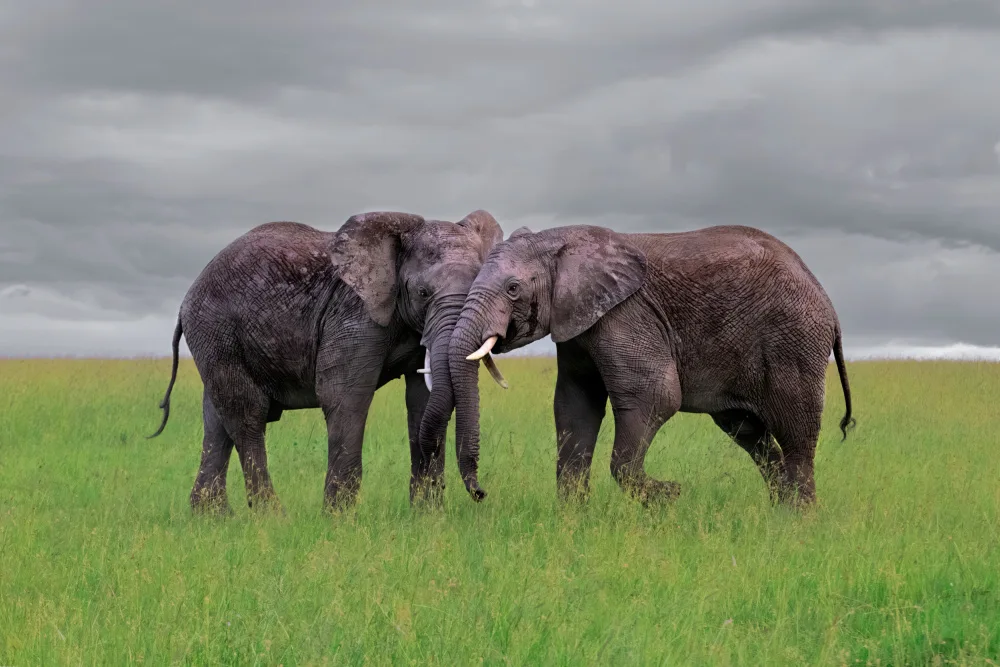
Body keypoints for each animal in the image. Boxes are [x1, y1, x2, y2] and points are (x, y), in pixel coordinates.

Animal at [147, 209, 510, 514]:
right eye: (423, 293)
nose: (480, 493)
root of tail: (186, 300)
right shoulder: (354, 314)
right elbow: (345, 396)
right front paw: (339, 519)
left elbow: (422, 401)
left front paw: (427, 517)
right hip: (216, 330)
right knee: (246, 414)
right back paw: (271, 518)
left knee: (216, 420)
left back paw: (212, 518)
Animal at [441, 223, 855, 506]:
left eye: (513, 289)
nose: (481, 493)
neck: (564, 241)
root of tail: (827, 300)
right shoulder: (578, 322)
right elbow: (575, 406)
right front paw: (573, 520)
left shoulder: (626, 314)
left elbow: (655, 396)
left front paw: (670, 495)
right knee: (751, 436)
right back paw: (780, 514)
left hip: (794, 342)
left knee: (795, 437)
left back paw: (798, 523)